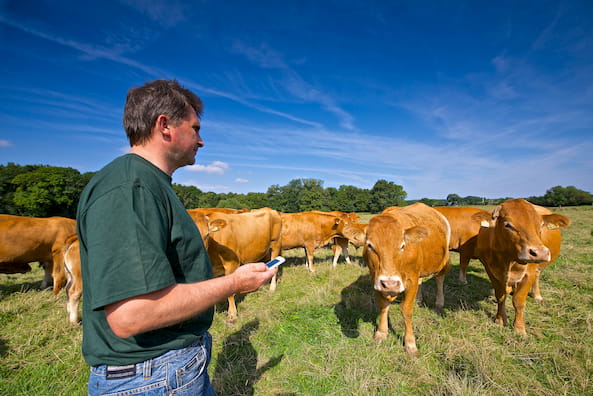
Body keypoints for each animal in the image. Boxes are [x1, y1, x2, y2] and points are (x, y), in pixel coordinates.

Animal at [364, 204, 450, 356]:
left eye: (402, 245)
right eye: (370, 245)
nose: (390, 284)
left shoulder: (411, 280)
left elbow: (406, 310)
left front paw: (410, 344)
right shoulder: (376, 280)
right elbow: (383, 305)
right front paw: (381, 333)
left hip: (443, 261)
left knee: (439, 279)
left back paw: (439, 302)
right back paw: (419, 299)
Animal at [472, 198, 568, 334]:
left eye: (540, 225)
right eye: (507, 225)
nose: (540, 253)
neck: (508, 259)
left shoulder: (528, 274)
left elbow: (519, 301)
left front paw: (519, 328)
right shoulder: (490, 271)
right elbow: (500, 296)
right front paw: (500, 319)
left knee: (537, 277)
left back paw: (537, 296)